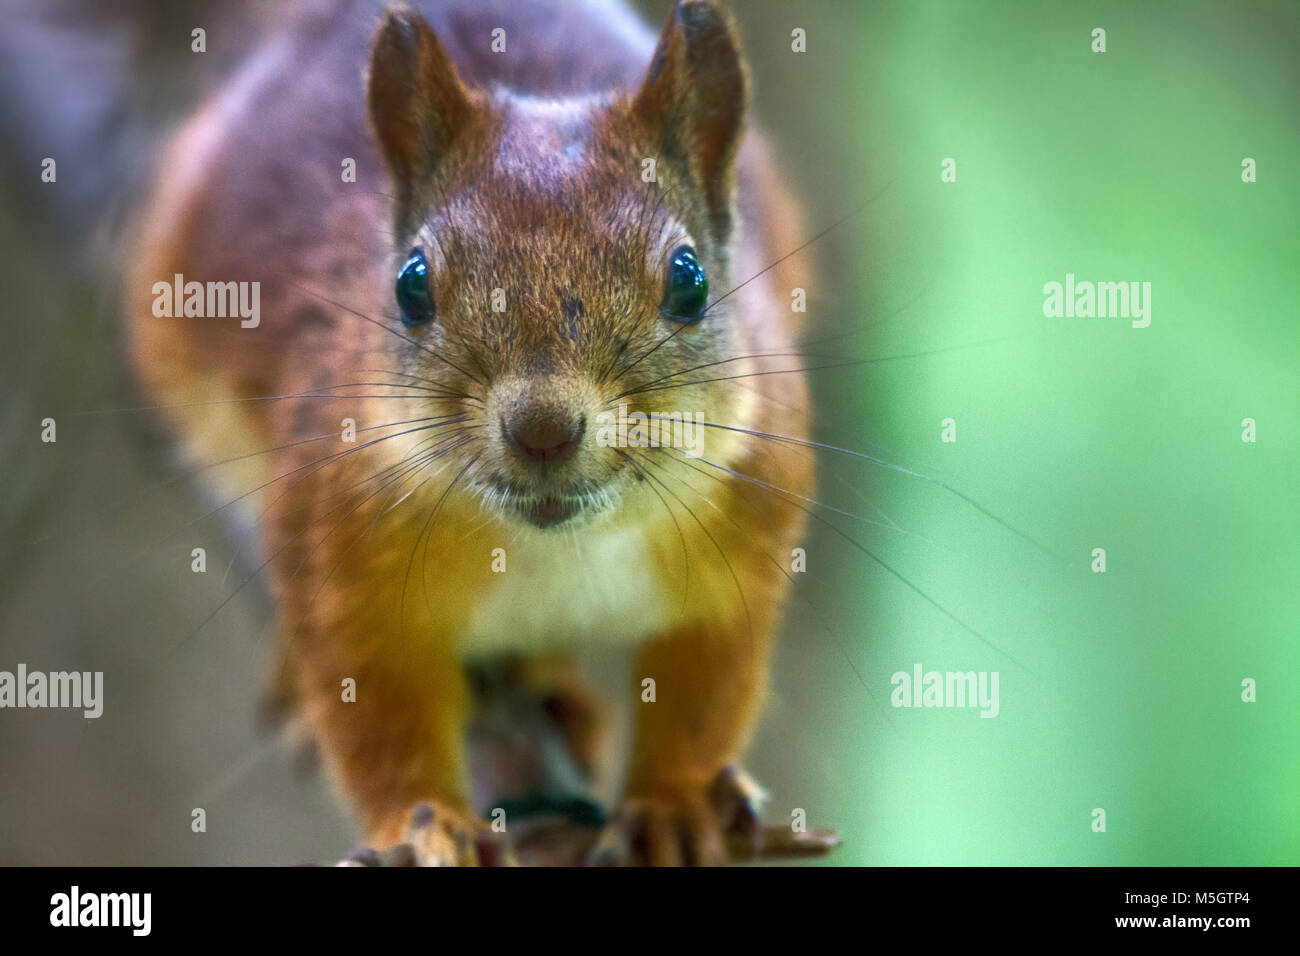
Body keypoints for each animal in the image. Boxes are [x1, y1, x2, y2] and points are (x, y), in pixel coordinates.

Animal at [124, 0, 811, 868]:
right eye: (411, 286)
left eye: (690, 281)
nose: (542, 429)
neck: (557, 547)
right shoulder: (337, 539)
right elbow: (372, 707)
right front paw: (423, 825)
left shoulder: (747, 524)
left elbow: (708, 680)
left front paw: (675, 804)